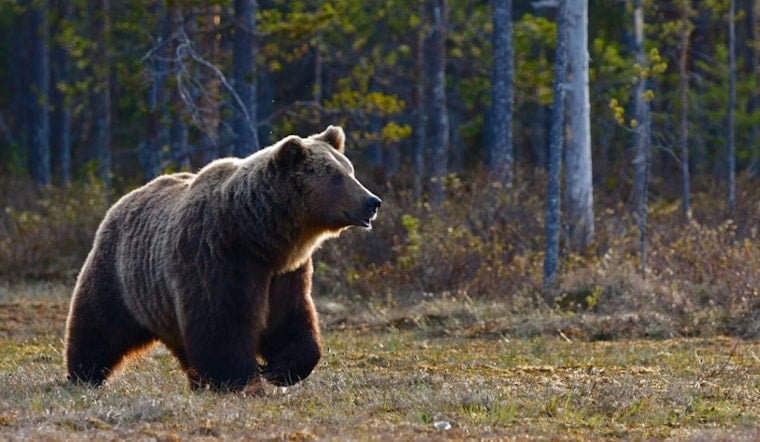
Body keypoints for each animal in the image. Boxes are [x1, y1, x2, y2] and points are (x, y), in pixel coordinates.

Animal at [64, 125, 381, 392]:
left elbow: (289, 318)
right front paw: (240, 380)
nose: (372, 201)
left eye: (350, 170)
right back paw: (83, 375)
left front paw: (280, 369)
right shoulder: (217, 256)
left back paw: (196, 381)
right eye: (336, 177)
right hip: (121, 275)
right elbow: (222, 323)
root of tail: (124, 199)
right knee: (99, 325)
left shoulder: (284, 273)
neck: (259, 235)